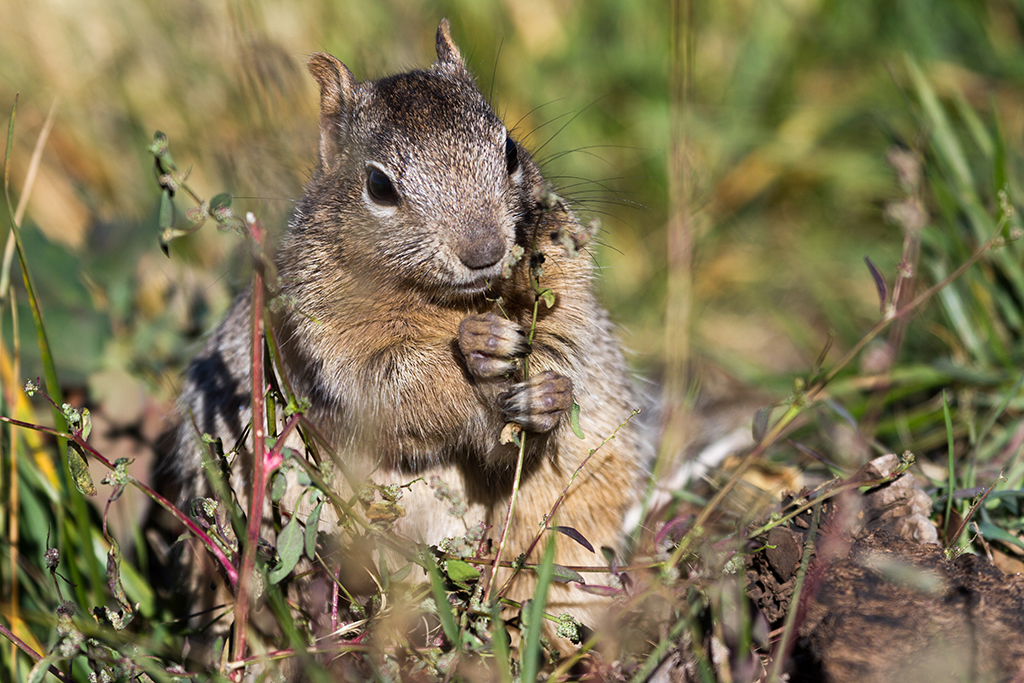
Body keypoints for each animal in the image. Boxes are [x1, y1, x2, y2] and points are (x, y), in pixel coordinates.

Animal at [163, 20, 651, 651]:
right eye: (377, 185)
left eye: (510, 150)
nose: (485, 250)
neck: (452, 301)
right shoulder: (325, 345)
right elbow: (398, 395)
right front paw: (477, 351)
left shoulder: (567, 307)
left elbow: (542, 392)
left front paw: (548, 395)